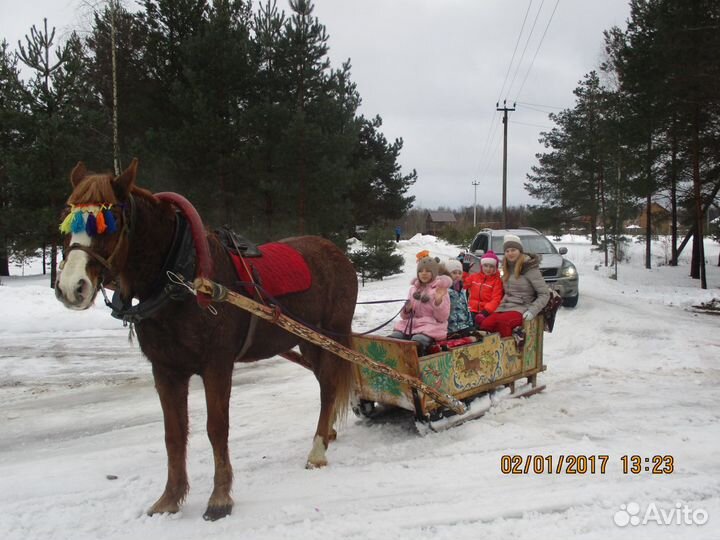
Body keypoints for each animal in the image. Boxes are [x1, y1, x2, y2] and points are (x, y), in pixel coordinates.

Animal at [54, 159, 358, 520]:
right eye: (68, 219)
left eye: (108, 223)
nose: (71, 287)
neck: (181, 277)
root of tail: (337, 252)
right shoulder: (166, 369)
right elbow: (174, 434)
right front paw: (169, 499)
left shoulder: (217, 365)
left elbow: (217, 428)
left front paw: (220, 498)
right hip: (309, 342)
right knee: (327, 385)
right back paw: (327, 434)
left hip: (330, 333)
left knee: (328, 388)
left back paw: (317, 450)